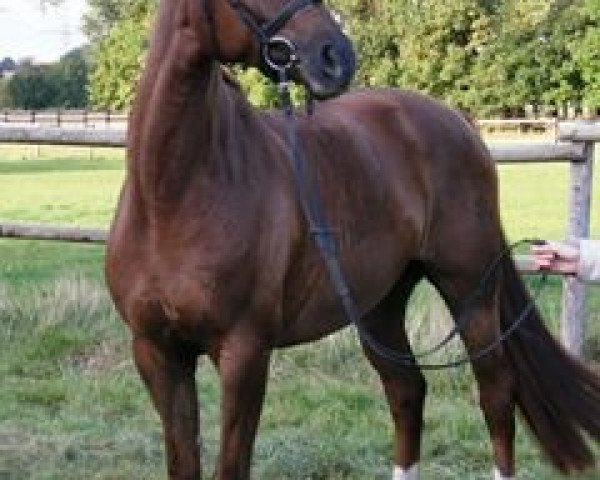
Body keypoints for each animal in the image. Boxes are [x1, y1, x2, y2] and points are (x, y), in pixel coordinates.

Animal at [105, 0, 596, 480]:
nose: (337, 56)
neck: (172, 197)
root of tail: (459, 122)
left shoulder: (245, 353)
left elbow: (232, 464)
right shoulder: (157, 353)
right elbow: (182, 460)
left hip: (469, 290)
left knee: (495, 392)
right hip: (379, 304)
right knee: (406, 389)